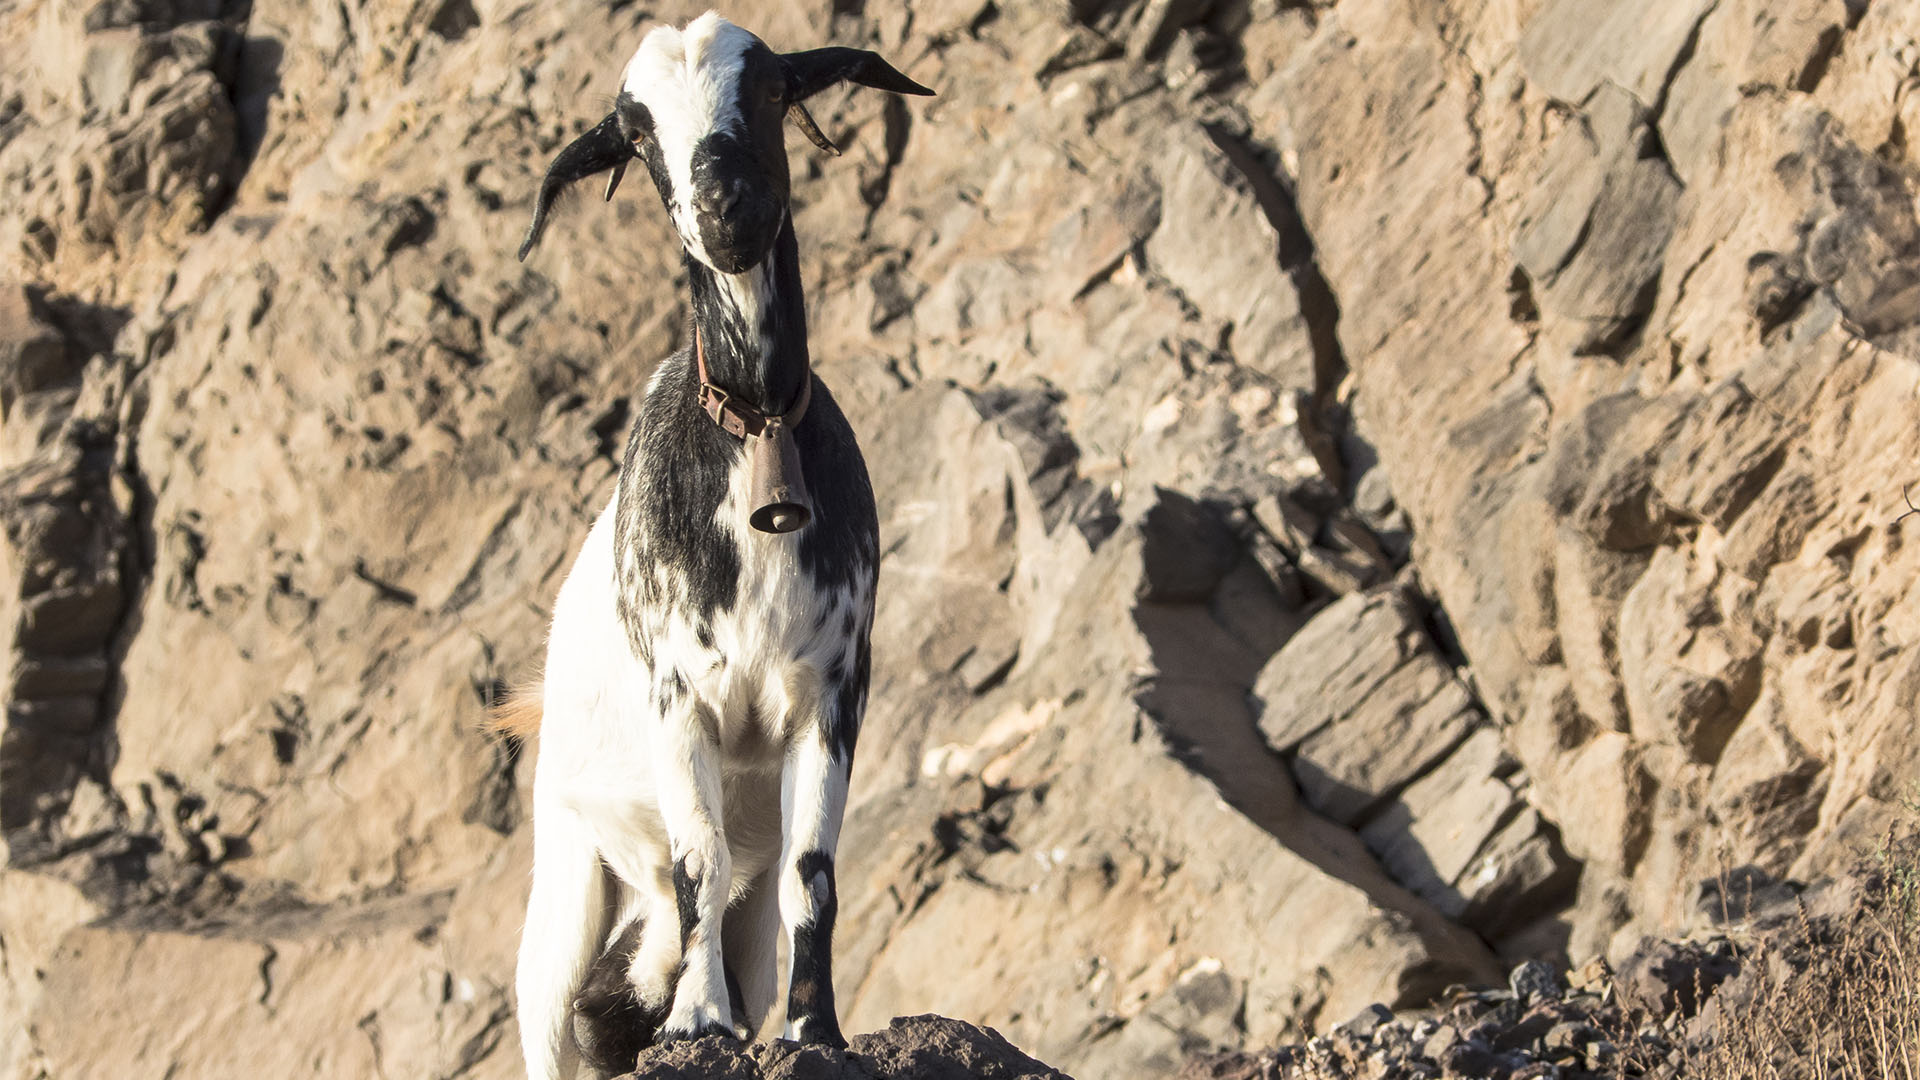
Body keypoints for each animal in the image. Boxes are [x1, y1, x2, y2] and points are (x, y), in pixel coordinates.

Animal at [506, 10, 933, 1076]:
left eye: (774, 88)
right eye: (636, 132)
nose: (725, 208)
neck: (752, 433)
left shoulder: (834, 689)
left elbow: (811, 871)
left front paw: (814, 1031)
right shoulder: (678, 697)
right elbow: (698, 851)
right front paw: (696, 1023)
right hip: (566, 872)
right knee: (567, 997)